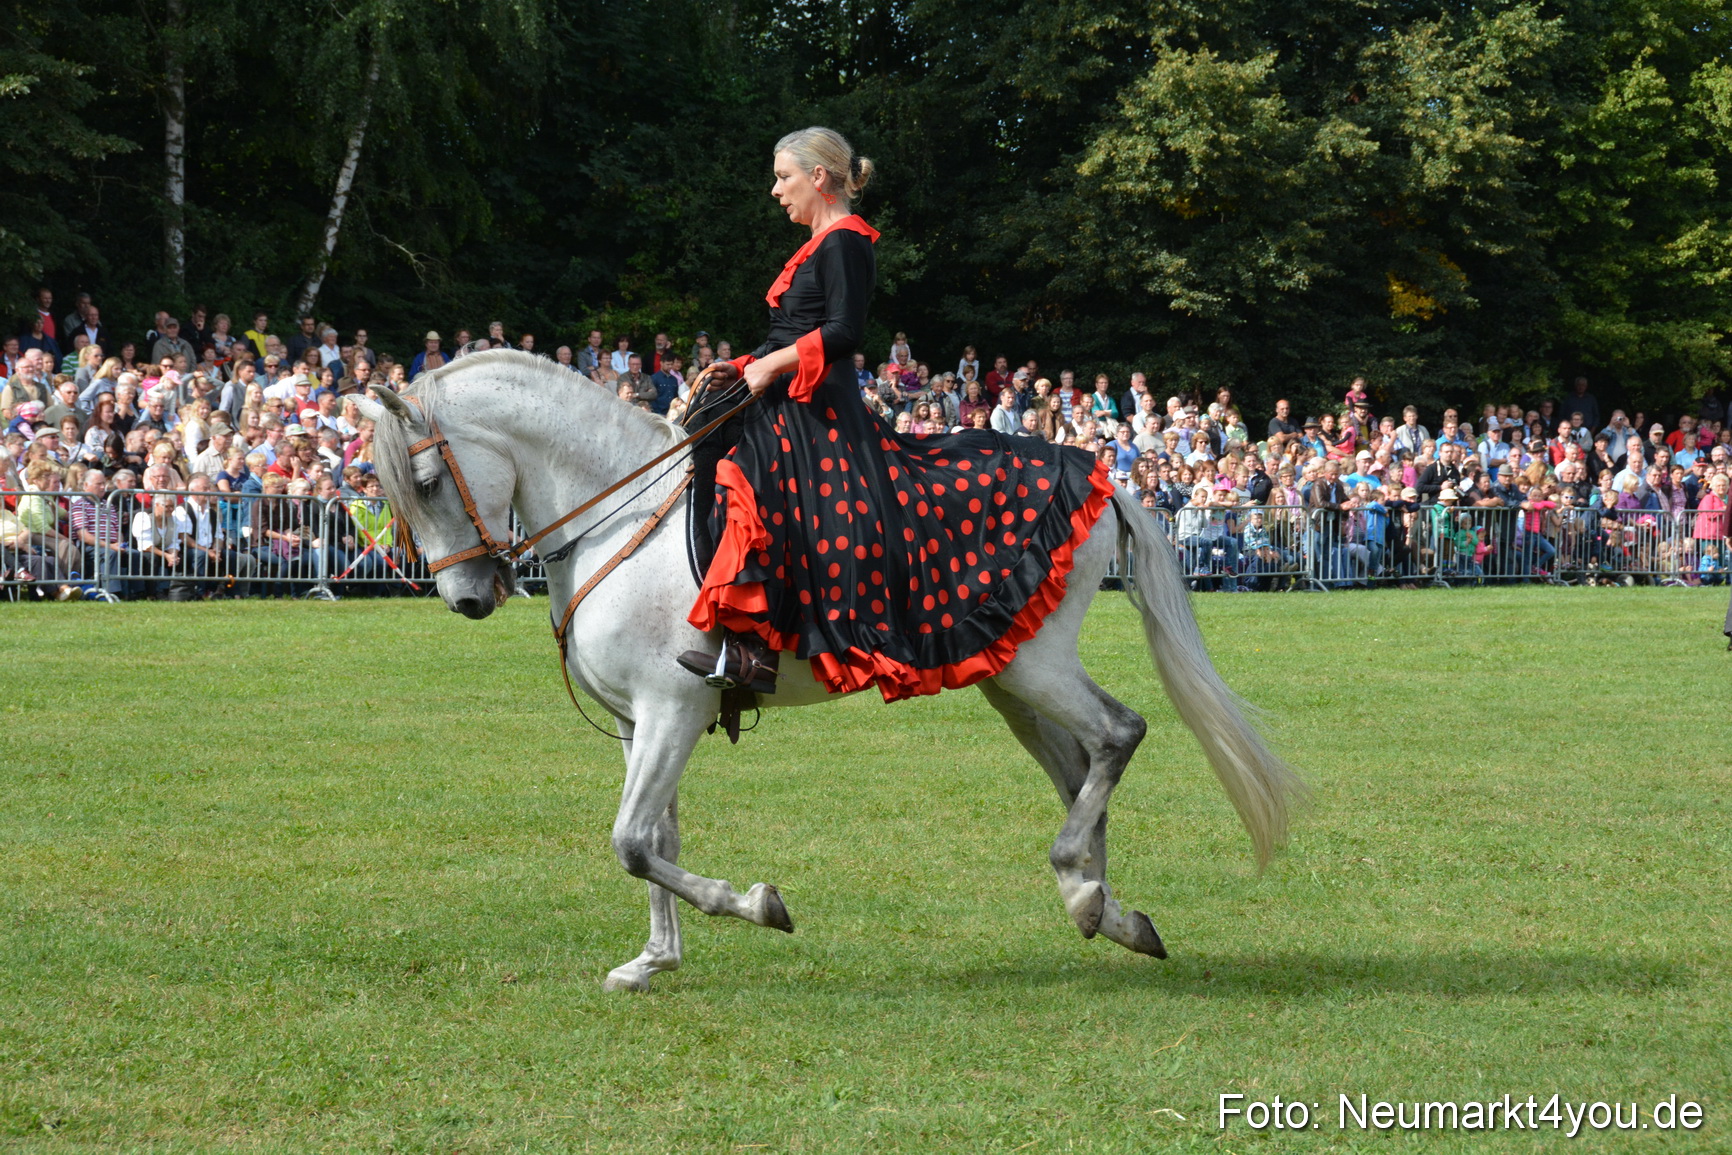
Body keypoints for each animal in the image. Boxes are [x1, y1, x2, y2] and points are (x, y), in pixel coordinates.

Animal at [356, 350, 1302, 992]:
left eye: (429, 480)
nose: (466, 598)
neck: (621, 512)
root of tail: (1096, 473)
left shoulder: (672, 707)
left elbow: (631, 840)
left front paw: (756, 903)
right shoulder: (641, 719)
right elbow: (655, 837)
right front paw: (655, 959)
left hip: (1037, 667)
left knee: (1118, 733)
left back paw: (1086, 895)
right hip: (1008, 678)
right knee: (1081, 767)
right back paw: (1107, 908)